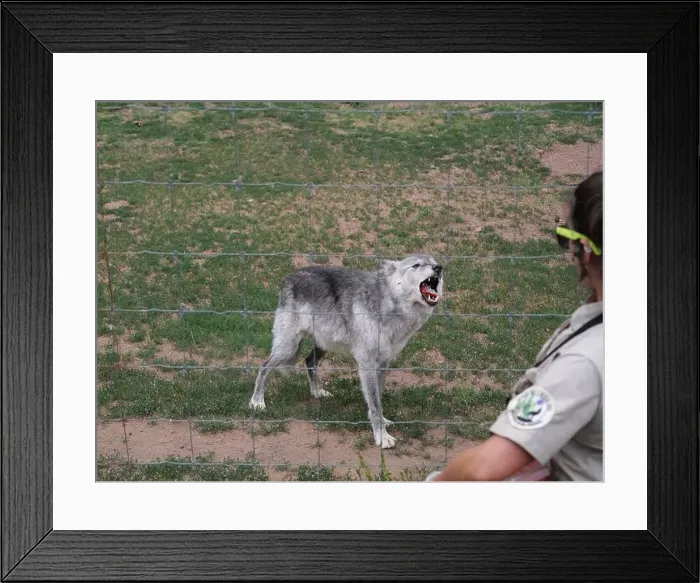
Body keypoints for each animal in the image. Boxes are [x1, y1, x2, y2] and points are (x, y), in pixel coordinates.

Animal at [248, 254, 444, 449]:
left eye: (434, 263)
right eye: (416, 265)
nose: (439, 268)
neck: (391, 307)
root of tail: (290, 277)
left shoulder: (383, 363)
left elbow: (378, 399)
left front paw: (383, 421)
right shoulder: (367, 364)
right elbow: (375, 404)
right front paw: (382, 437)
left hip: (322, 345)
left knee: (309, 361)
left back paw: (317, 392)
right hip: (288, 348)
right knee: (264, 366)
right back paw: (257, 401)